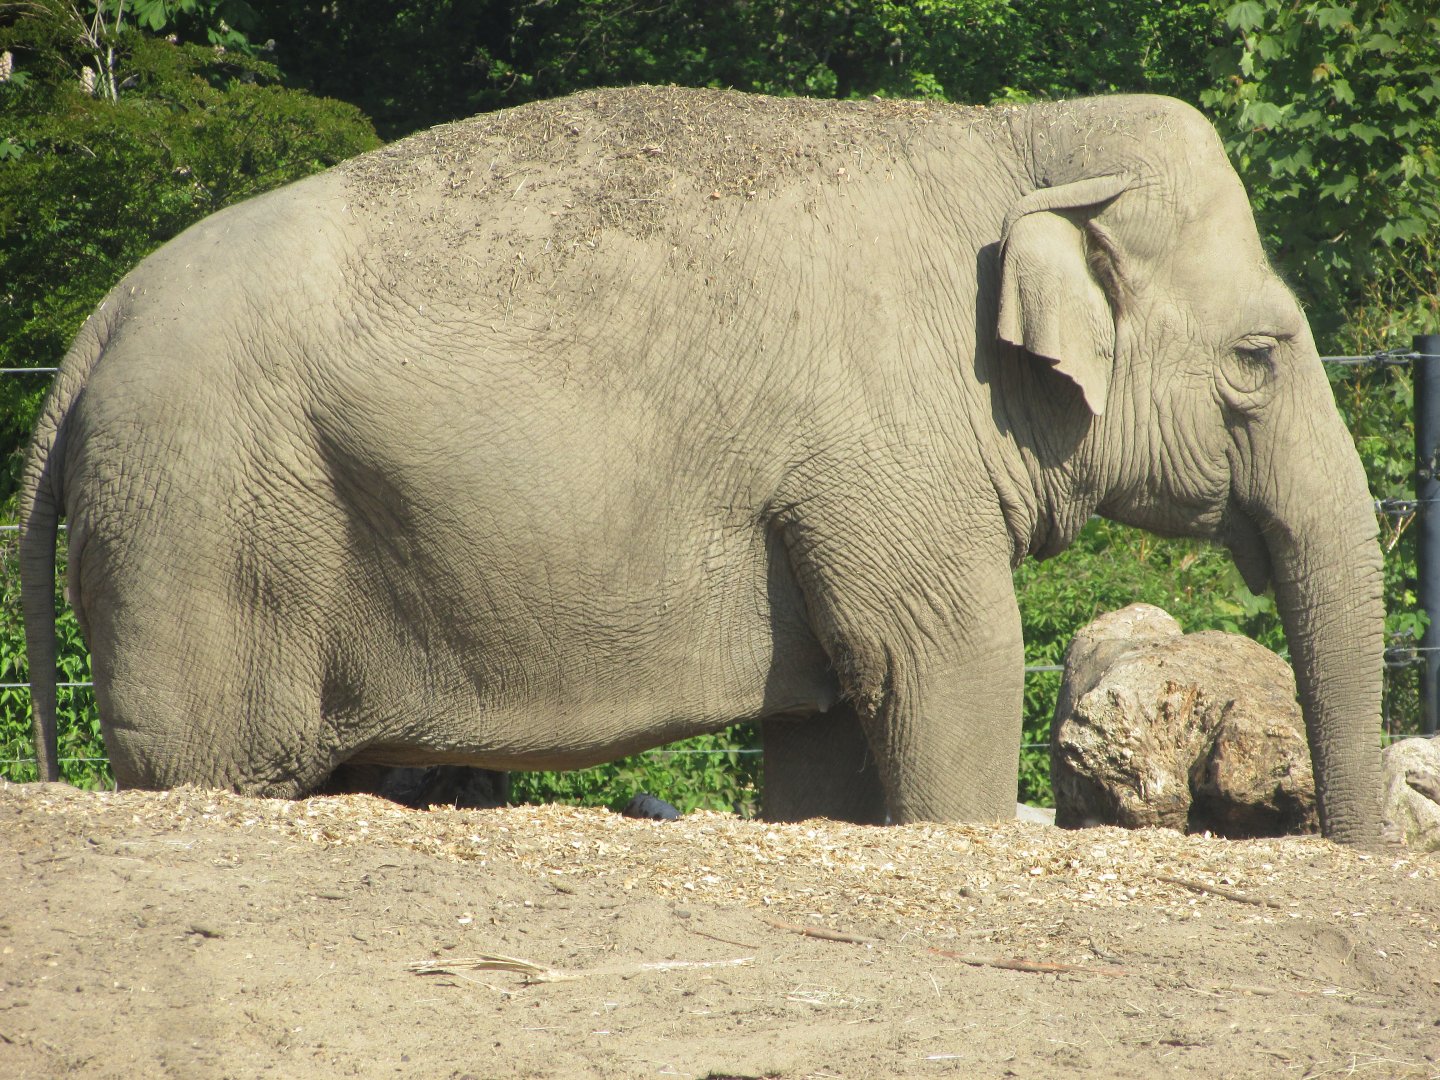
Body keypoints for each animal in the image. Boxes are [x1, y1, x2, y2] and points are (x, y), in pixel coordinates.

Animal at [19, 87, 1384, 842]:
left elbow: (831, 717)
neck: (1009, 146)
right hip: (197, 523)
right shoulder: (886, 439)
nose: (1350, 849)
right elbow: (948, 658)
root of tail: (98, 325)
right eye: (1259, 354)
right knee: (208, 763)